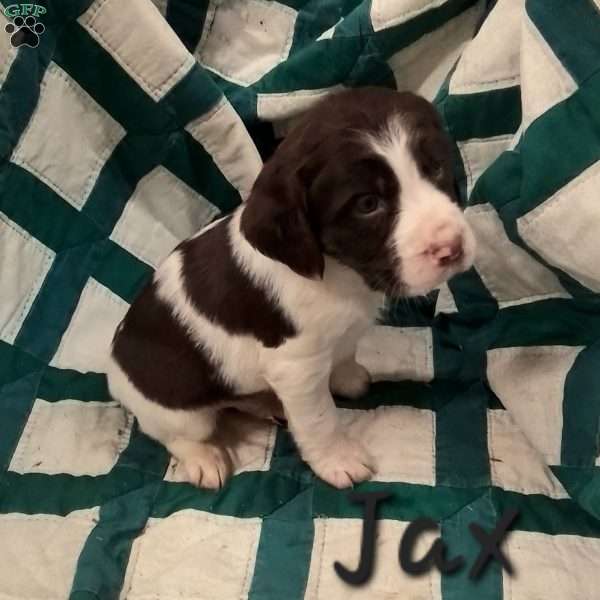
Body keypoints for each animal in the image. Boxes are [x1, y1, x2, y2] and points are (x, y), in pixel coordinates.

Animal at [106, 90, 474, 492]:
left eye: (435, 168)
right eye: (367, 205)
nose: (452, 248)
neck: (340, 274)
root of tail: (112, 368)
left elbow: (344, 352)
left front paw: (346, 376)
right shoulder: (296, 367)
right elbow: (319, 418)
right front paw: (338, 460)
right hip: (178, 408)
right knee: (178, 434)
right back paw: (203, 457)